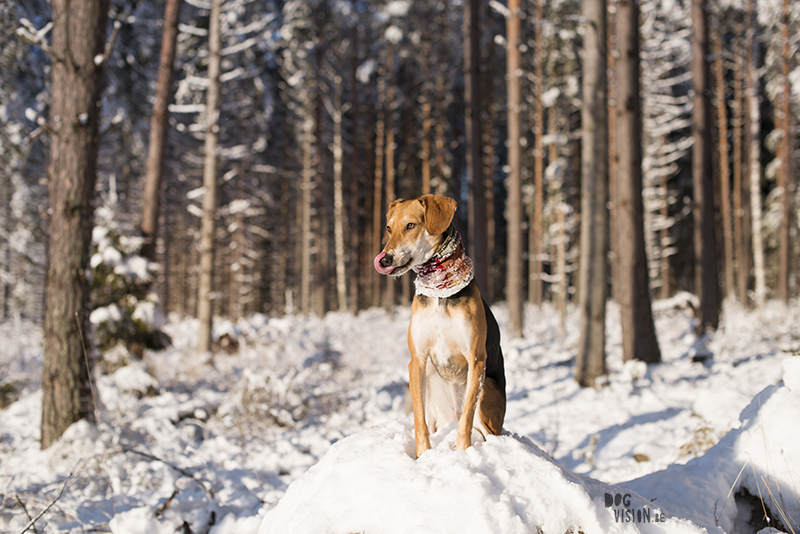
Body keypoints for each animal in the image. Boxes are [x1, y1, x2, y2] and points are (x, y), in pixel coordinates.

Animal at [376, 195, 506, 458]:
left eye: (410, 225)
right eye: (389, 228)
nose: (384, 259)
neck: (439, 294)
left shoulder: (476, 360)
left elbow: (466, 419)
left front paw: (463, 452)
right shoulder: (417, 360)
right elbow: (419, 421)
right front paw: (423, 455)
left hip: (487, 391)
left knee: (478, 426)